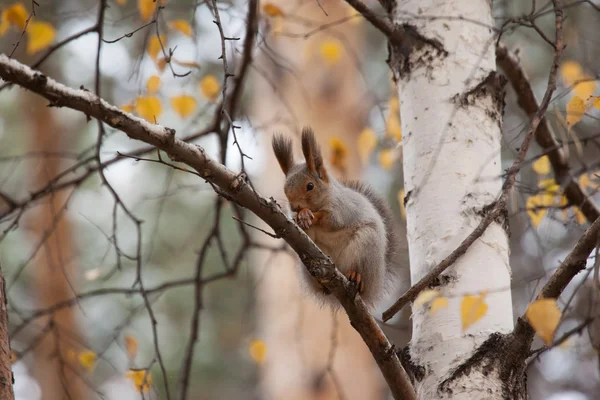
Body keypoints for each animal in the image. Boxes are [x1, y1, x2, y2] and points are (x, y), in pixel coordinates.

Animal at [270, 126, 400, 308]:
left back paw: (356, 277)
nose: (295, 207)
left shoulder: (343, 208)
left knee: (360, 278)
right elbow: (306, 234)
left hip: (367, 247)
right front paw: (300, 217)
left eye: (310, 186)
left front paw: (308, 215)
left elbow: (332, 221)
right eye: (285, 189)